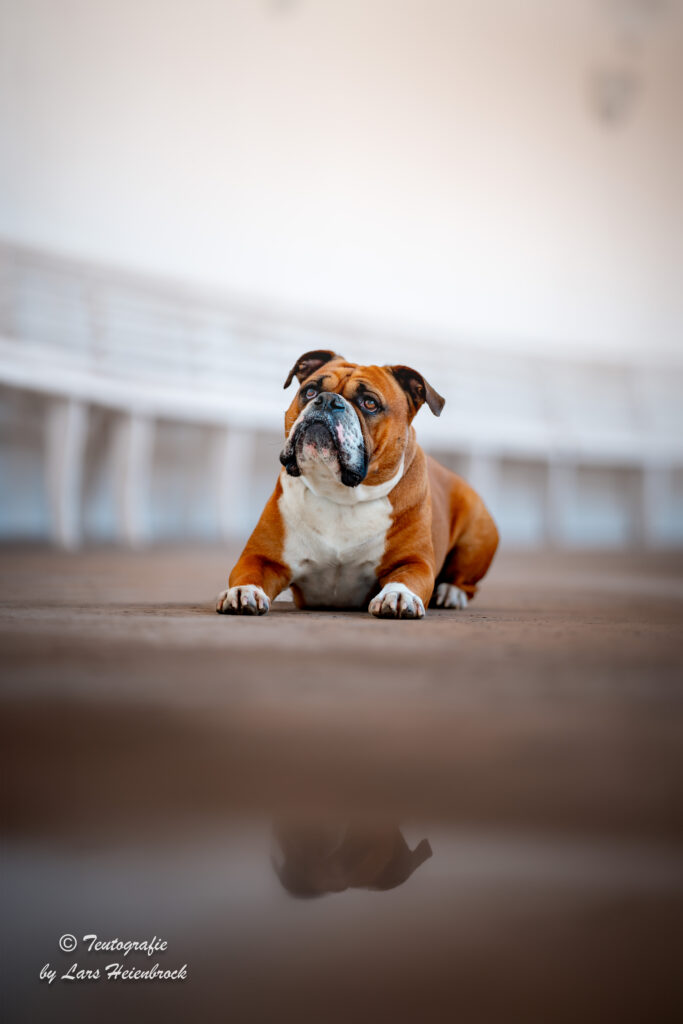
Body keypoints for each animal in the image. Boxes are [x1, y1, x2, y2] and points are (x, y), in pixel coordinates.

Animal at [216, 352, 499, 618]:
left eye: (370, 403)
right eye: (309, 391)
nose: (327, 401)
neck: (341, 493)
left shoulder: (414, 562)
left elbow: (405, 579)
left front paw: (398, 596)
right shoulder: (262, 558)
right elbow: (249, 573)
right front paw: (243, 592)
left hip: (477, 534)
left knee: (466, 583)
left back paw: (450, 593)